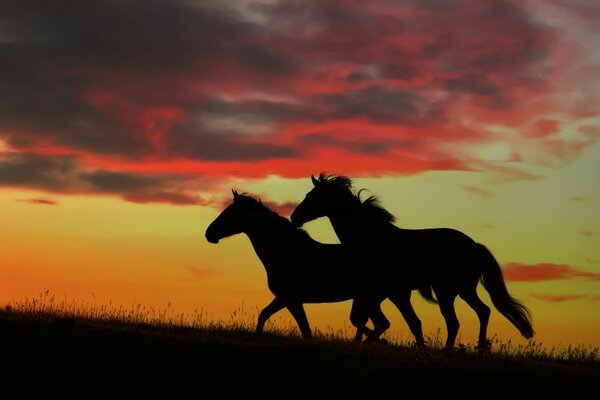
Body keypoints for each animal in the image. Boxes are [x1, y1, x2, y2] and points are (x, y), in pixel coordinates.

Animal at [206, 190, 394, 340]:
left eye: (229, 213)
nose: (208, 233)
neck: (287, 251)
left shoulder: (289, 298)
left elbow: (302, 328)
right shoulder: (289, 300)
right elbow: (269, 317)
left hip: (370, 298)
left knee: (377, 323)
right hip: (371, 300)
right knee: (375, 323)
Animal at [290, 173, 536, 350]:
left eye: (312, 196)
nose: (294, 217)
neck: (372, 239)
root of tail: (474, 245)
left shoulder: (389, 292)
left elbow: (398, 322)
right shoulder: (385, 293)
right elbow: (398, 322)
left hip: (449, 290)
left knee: (457, 320)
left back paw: (455, 350)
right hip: (461, 290)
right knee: (481, 312)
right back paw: (479, 348)